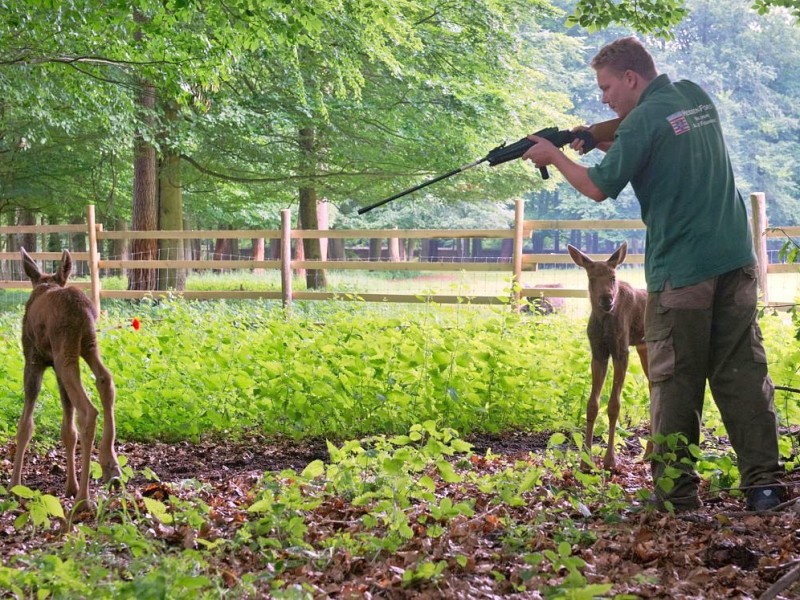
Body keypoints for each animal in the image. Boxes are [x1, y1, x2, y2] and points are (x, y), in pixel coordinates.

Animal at [11, 248, 120, 506]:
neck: (46, 282)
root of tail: (82, 309)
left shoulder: (33, 359)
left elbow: (25, 425)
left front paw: (14, 486)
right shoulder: (57, 370)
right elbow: (67, 430)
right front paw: (70, 486)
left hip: (65, 353)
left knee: (88, 410)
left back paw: (83, 499)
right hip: (87, 345)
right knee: (106, 380)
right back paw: (110, 464)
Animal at [568, 241, 648, 472]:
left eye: (613, 277)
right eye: (591, 278)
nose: (606, 300)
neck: (604, 321)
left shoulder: (622, 351)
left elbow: (614, 405)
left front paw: (610, 460)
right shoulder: (598, 353)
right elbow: (592, 404)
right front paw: (585, 461)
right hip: (645, 347)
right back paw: (648, 454)